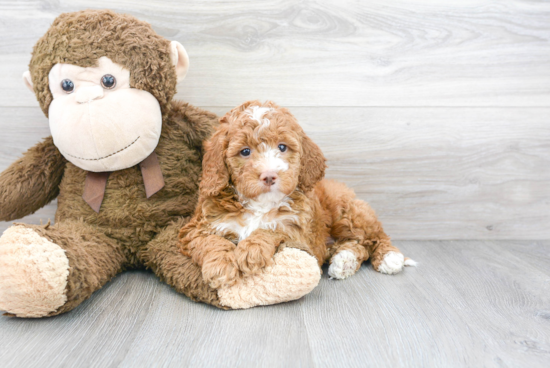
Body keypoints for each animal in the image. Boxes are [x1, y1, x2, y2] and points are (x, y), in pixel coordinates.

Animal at [179, 101, 416, 290]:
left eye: (282, 147)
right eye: (245, 151)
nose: (269, 176)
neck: (260, 205)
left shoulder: (303, 234)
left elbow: (274, 228)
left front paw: (251, 250)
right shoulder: (196, 227)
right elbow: (210, 241)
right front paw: (220, 266)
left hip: (349, 212)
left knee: (374, 237)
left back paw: (390, 258)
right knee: (356, 244)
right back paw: (344, 261)